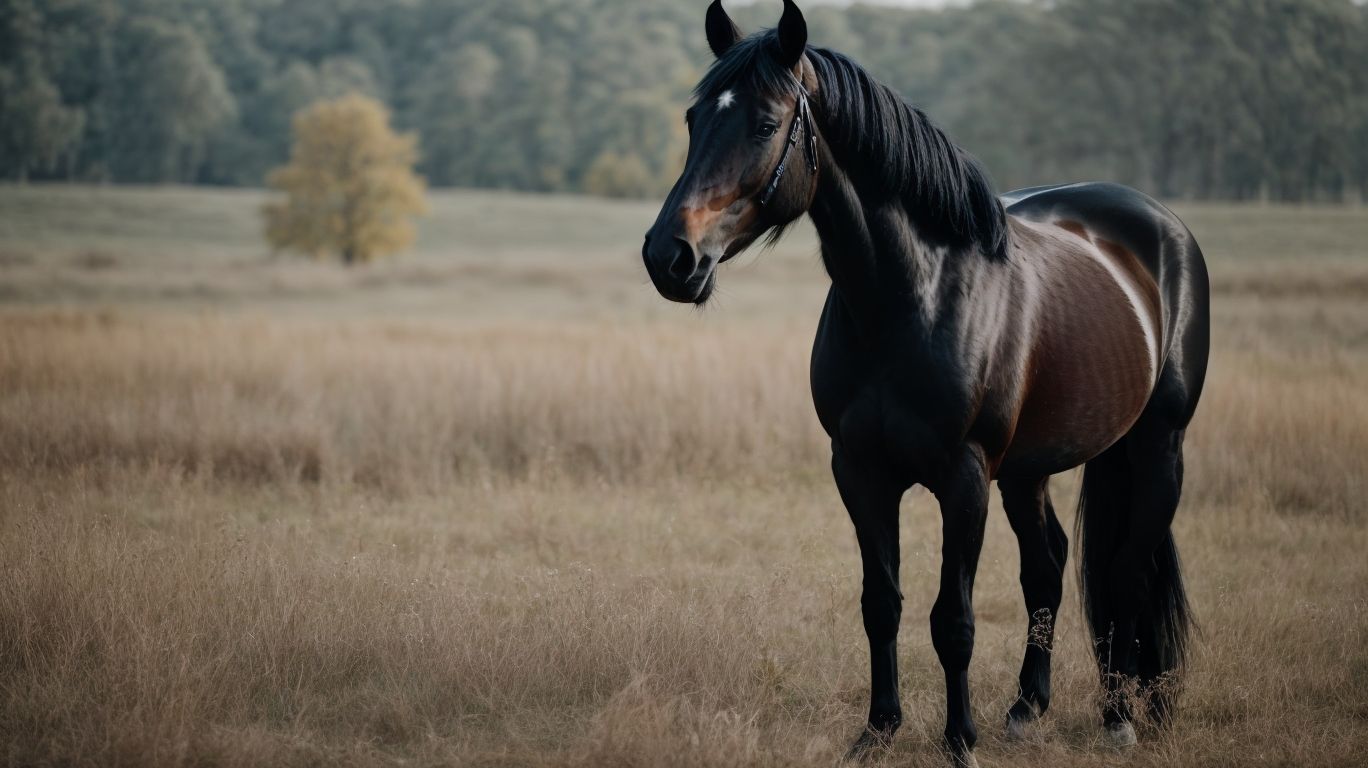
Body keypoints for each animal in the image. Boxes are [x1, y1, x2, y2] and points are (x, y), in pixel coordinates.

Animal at [641, 1, 1210, 765]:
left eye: (764, 124)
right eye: (694, 117)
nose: (668, 256)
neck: (912, 295)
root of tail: (1160, 228)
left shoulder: (963, 476)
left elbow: (953, 619)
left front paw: (958, 740)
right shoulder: (860, 472)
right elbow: (881, 604)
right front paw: (877, 732)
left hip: (1156, 446)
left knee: (1125, 571)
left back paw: (1119, 716)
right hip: (1028, 469)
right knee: (1049, 566)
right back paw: (1026, 709)